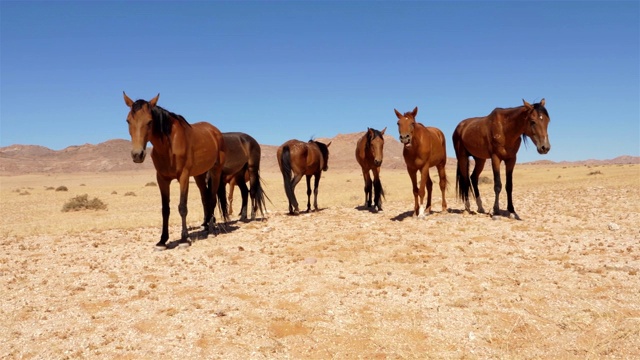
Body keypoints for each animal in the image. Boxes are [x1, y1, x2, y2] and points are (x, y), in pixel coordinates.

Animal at [122, 92, 228, 250]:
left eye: (149, 122)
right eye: (128, 121)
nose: (137, 155)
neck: (168, 146)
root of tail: (215, 132)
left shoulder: (183, 177)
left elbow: (182, 207)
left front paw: (184, 239)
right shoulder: (162, 179)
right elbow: (165, 209)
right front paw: (162, 241)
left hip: (215, 171)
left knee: (212, 198)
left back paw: (210, 231)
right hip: (199, 175)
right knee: (205, 198)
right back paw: (205, 227)